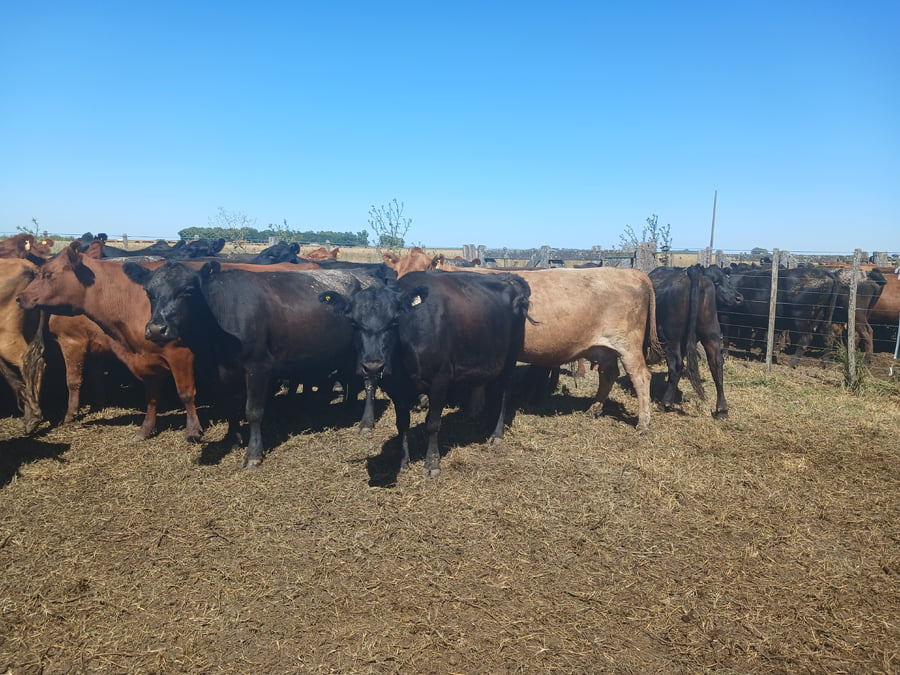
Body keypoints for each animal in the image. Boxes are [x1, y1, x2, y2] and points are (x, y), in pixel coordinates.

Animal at [16, 243, 203, 442]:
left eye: (48, 274)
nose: (20, 297)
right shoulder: (144, 358)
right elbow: (151, 396)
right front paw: (145, 430)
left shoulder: (180, 352)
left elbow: (186, 394)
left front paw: (193, 430)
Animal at [123, 261, 383, 467]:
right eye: (148, 292)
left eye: (187, 291)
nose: (157, 329)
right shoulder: (217, 371)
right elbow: (229, 405)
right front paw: (233, 438)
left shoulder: (258, 367)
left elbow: (253, 411)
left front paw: (253, 453)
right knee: (351, 378)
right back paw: (346, 408)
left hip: (370, 349)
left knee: (369, 380)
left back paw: (366, 422)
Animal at [320, 270, 531, 477]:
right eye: (353, 323)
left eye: (395, 321)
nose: (373, 366)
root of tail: (508, 277)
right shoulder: (397, 389)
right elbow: (402, 423)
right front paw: (403, 461)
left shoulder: (440, 380)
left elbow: (432, 423)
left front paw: (432, 464)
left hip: (510, 358)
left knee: (503, 393)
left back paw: (496, 434)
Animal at [386, 251, 660, 431]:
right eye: (397, 272)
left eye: (426, 269)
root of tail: (631, 272)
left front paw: (473, 410)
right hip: (603, 348)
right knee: (609, 375)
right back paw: (594, 409)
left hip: (628, 345)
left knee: (640, 377)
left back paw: (643, 422)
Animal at [649, 265, 743, 419]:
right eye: (718, 282)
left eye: (727, 279)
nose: (739, 298)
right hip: (711, 334)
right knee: (716, 363)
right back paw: (722, 409)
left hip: (672, 338)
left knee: (676, 365)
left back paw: (665, 403)